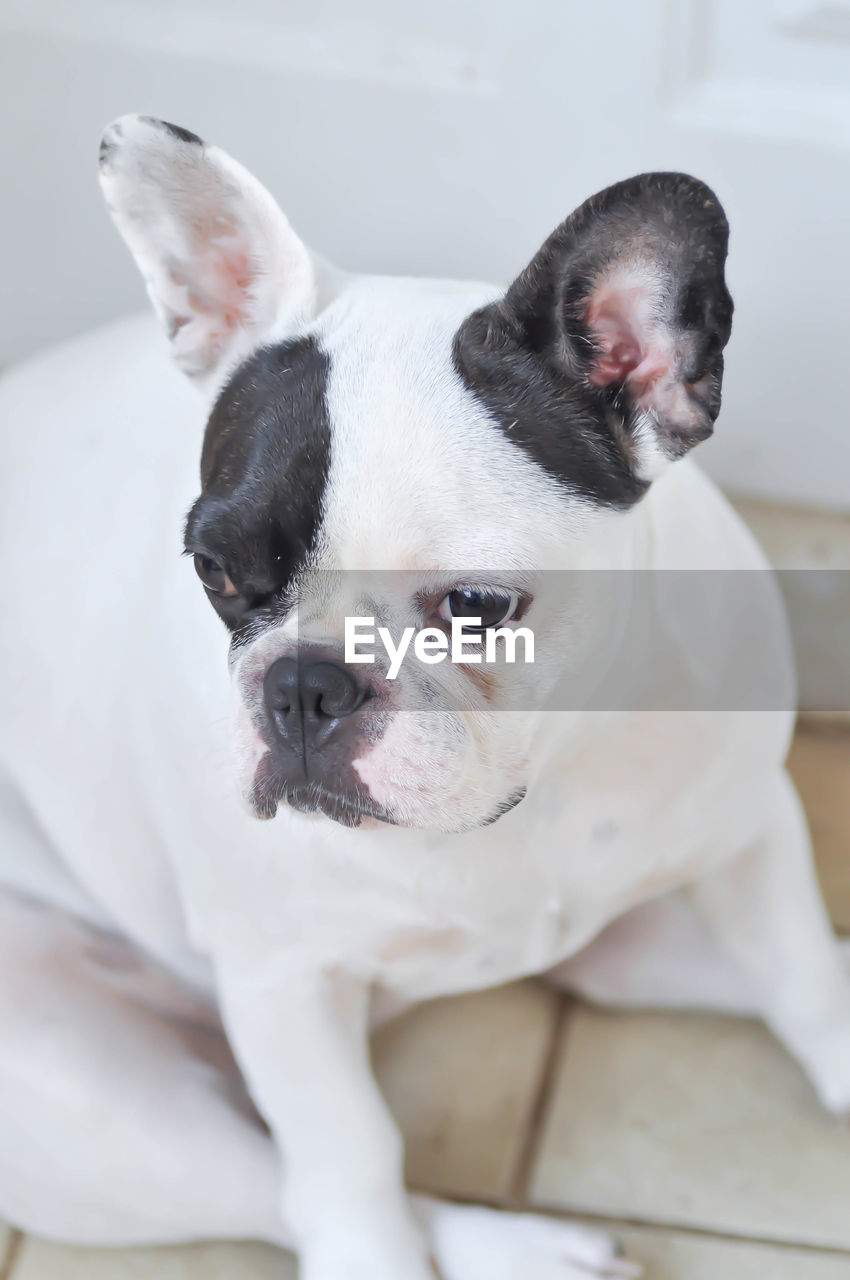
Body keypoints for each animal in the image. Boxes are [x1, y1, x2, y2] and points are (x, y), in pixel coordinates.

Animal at [0, 112, 844, 1280]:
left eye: (479, 602)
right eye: (215, 572)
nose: (305, 684)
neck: (545, 773)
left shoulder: (749, 831)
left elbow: (801, 970)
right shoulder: (284, 982)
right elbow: (351, 1161)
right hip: (84, 1099)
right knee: (288, 1191)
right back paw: (526, 1250)